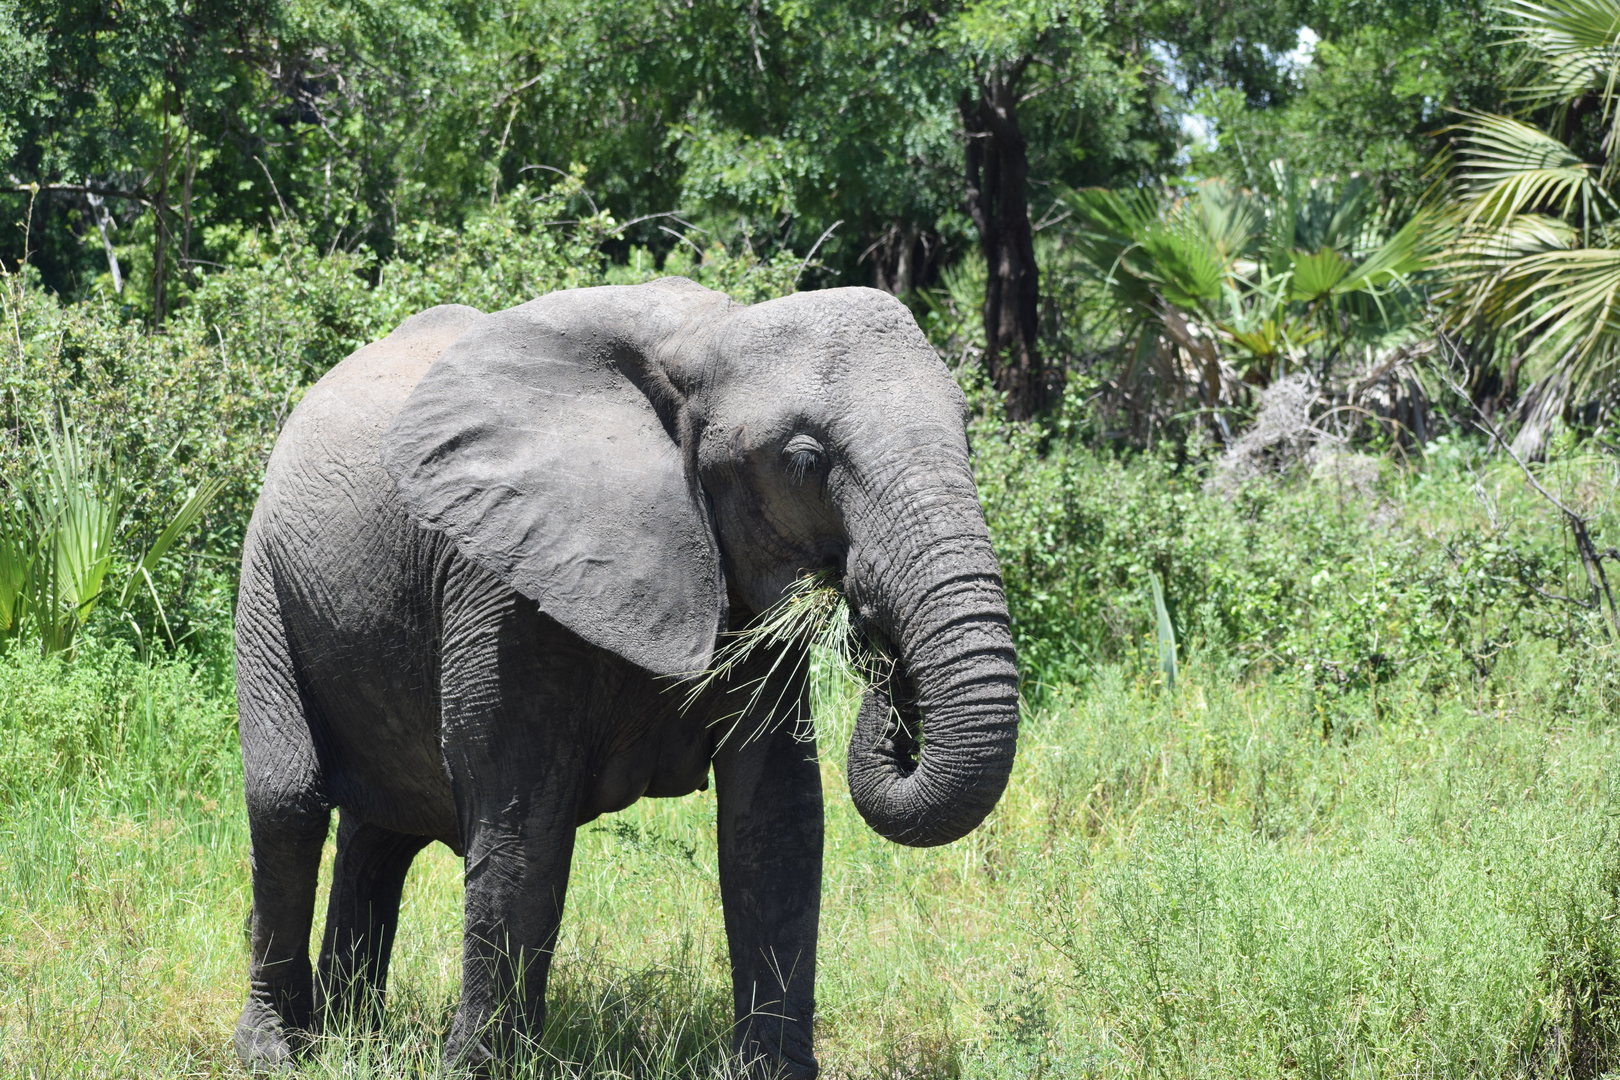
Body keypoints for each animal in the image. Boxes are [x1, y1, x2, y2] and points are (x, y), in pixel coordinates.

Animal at [233, 277, 1019, 1078]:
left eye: (967, 434)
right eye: (803, 460)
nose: (874, 640)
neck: (710, 337)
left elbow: (778, 819)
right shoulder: (502, 581)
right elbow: (522, 823)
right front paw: (483, 1070)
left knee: (380, 836)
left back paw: (350, 1037)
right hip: (267, 582)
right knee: (289, 803)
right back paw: (278, 1050)